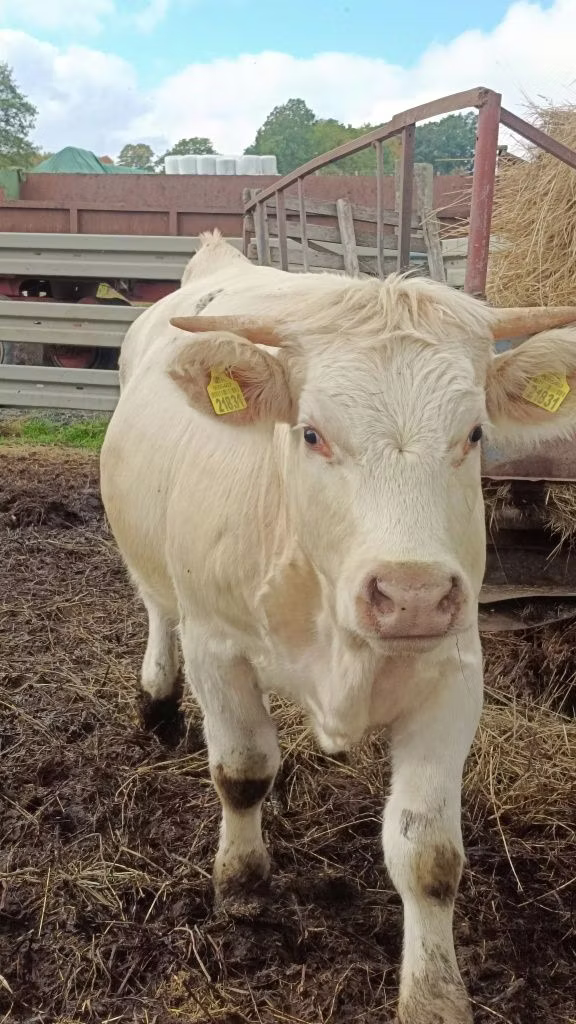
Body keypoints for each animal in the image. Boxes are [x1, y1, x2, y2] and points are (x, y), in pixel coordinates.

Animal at [100, 231, 576, 1023]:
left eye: (475, 432)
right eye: (313, 433)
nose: (412, 595)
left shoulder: (453, 671)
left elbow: (428, 853)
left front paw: (434, 996)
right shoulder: (215, 646)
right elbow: (242, 772)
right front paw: (242, 884)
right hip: (156, 572)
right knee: (156, 609)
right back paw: (158, 704)